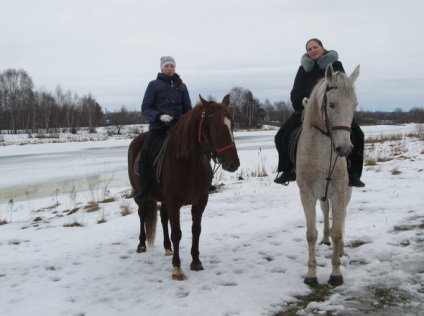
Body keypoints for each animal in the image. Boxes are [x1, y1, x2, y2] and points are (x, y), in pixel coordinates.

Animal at [126, 95, 240, 280]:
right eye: (215, 128)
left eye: (232, 125)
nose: (233, 164)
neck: (188, 161)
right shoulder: (174, 202)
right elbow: (177, 233)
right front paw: (177, 268)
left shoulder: (200, 200)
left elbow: (196, 229)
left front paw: (196, 262)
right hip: (139, 193)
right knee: (142, 214)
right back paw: (141, 244)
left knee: (163, 217)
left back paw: (167, 247)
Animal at [294, 64, 362, 286]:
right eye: (331, 104)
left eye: (354, 105)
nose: (345, 148)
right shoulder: (307, 194)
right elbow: (311, 234)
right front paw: (311, 275)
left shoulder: (339, 193)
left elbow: (338, 232)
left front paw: (336, 273)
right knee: (325, 212)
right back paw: (325, 240)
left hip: (347, 192)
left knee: (341, 218)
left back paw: (340, 251)